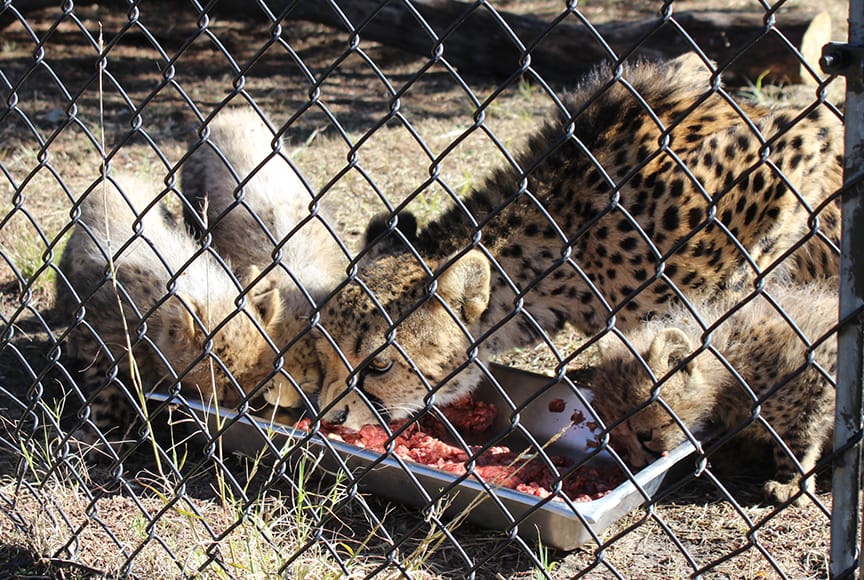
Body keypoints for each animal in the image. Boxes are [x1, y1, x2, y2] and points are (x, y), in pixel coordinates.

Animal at [56, 172, 284, 444]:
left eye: (252, 387)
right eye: (221, 389)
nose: (230, 410)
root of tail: (121, 177)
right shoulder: (101, 342)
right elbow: (109, 390)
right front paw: (97, 436)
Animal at [588, 280, 836, 502]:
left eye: (645, 435)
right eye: (619, 438)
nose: (637, 464)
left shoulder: (818, 378)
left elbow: (798, 440)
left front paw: (791, 483)